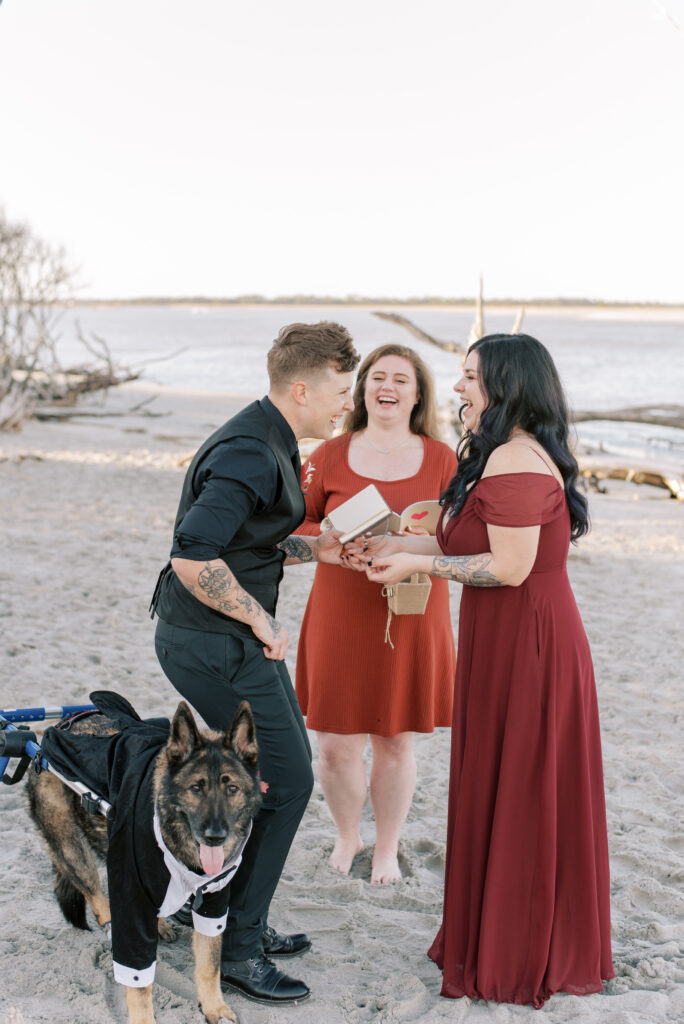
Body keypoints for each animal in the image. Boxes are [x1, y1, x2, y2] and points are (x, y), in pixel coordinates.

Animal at [26, 696, 262, 1024]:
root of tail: (59, 727)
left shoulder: (213, 905)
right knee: (99, 902)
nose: (215, 836)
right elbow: (139, 984)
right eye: (196, 788)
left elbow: (209, 966)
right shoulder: (131, 893)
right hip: (73, 849)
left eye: (232, 789)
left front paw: (214, 1008)